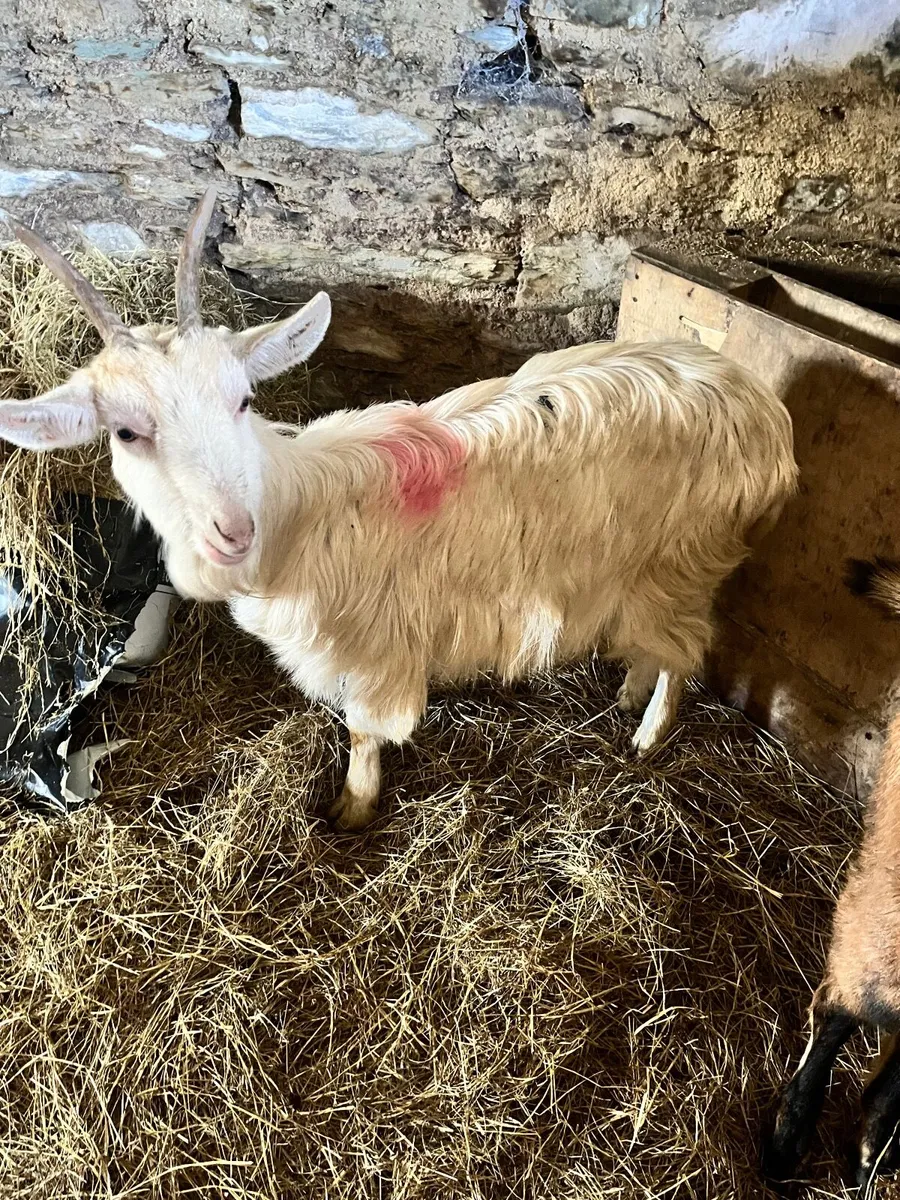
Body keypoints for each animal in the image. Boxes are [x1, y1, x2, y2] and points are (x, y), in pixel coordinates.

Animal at [0, 188, 798, 830]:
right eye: (127, 433)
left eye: (244, 399)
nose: (233, 531)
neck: (296, 515)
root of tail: (764, 414)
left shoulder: (376, 647)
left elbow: (362, 730)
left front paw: (351, 809)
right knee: (658, 645)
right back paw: (630, 695)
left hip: (684, 560)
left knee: (686, 652)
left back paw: (646, 734)